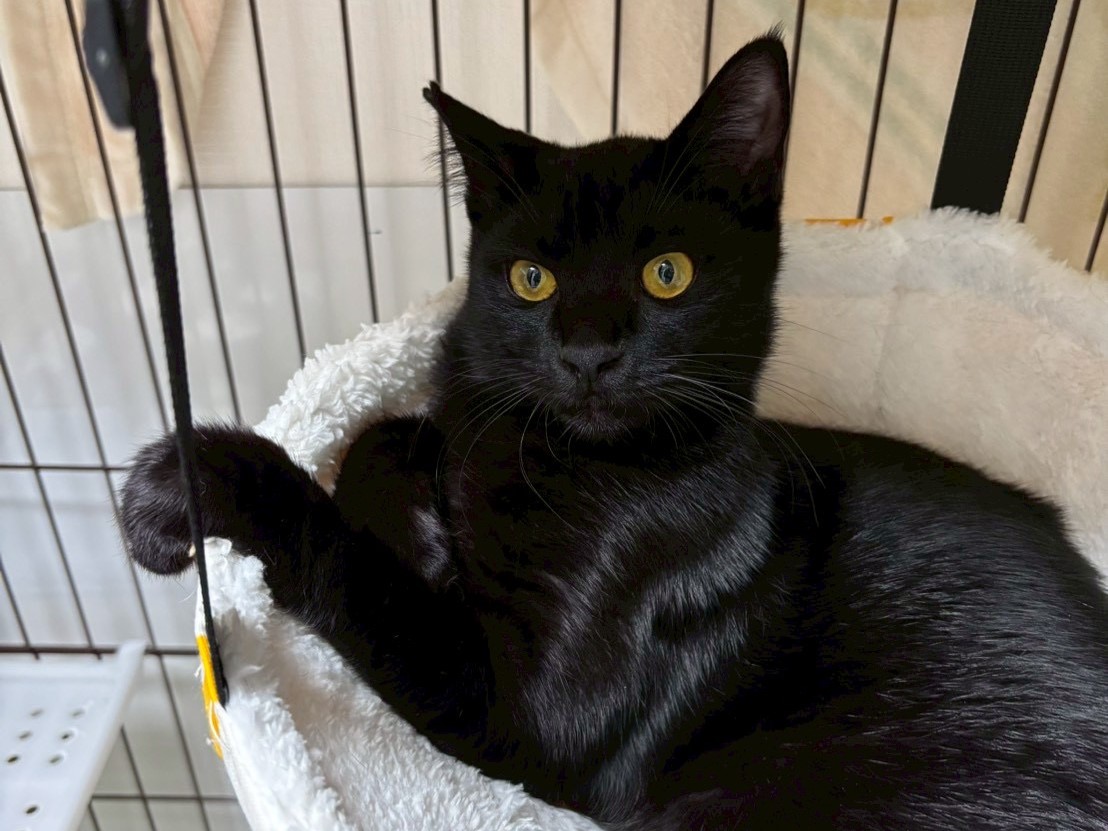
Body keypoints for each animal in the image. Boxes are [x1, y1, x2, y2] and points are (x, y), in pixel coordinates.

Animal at [120, 35, 1108, 830]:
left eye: (667, 273)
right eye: (531, 279)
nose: (589, 353)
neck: (564, 464)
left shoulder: (527, 722)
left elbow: (348, 561)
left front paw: (178, 487)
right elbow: (386, 432)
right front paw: (426, 520)